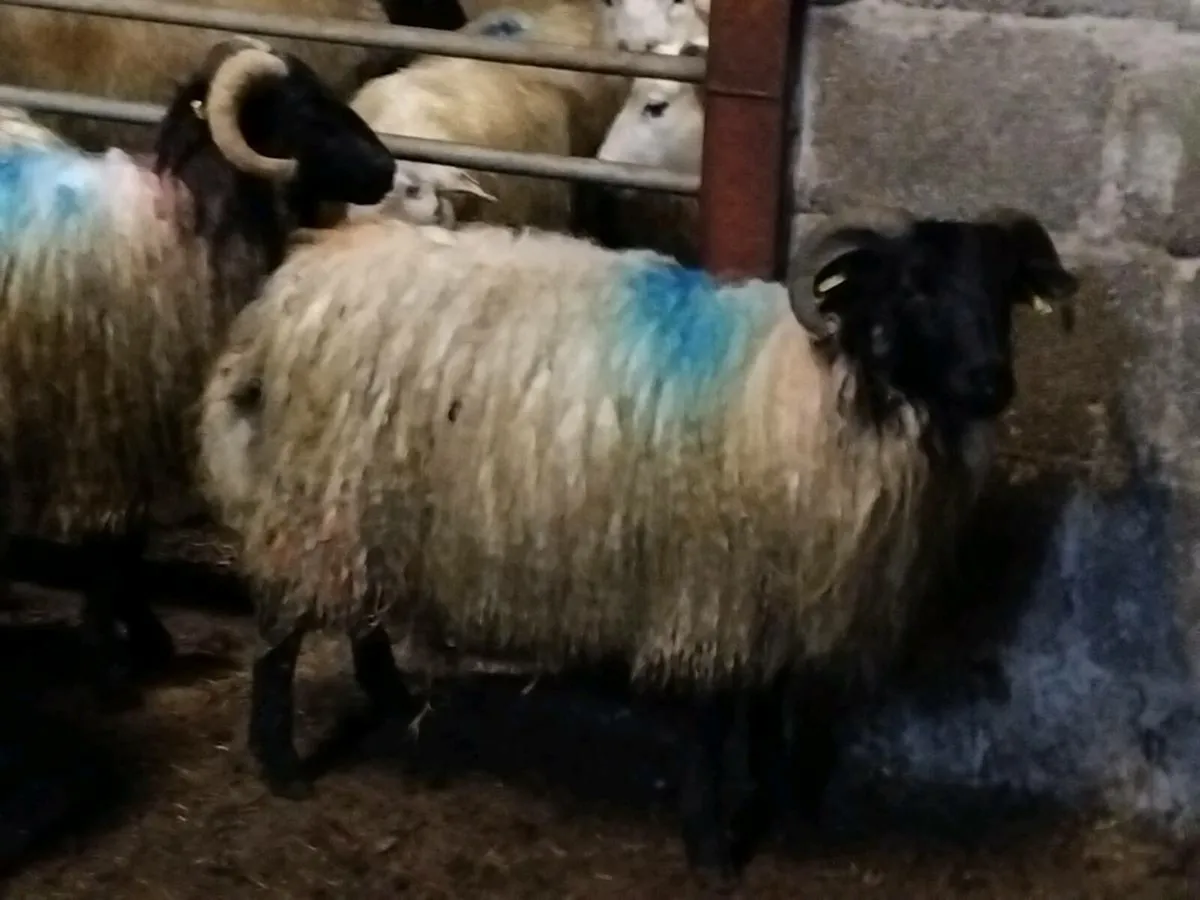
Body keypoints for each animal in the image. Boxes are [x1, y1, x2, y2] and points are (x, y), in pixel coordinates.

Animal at [0, 34, 396, 710]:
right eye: (305, 110)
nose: (388, 169)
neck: (183, 231)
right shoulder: (101, 431)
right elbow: (108, 547)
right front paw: (109, 661)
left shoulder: (137, 427)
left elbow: (129, 544)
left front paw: (146, 637)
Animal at [197, 203, 1079, 874]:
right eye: (916, 286)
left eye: (1004, 290)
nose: (993, 384)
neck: (825, 385)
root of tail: (290, 288)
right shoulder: (714, 589)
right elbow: (712, 725)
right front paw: (712, 849)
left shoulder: (778, 593)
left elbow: (770, 710)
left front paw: (776, 803)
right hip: (312, 498)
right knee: (281, 635)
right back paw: (283, 767)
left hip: (364, 505)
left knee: (363, 607)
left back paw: (392, 697)